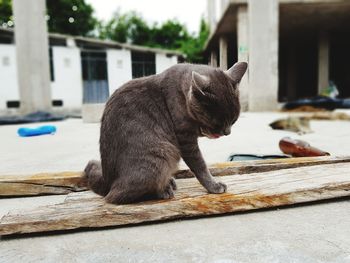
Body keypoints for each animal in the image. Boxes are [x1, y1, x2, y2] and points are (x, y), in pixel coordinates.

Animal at [83, 62, 247, 204]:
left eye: (233, 120)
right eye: (217, 123)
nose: (227, 132)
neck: (182, 93)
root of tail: (107, 180)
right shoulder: (185, 139)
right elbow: (200, 165)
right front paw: (214, 186)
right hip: (163, 154)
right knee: (116, 196)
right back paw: (164, 190)